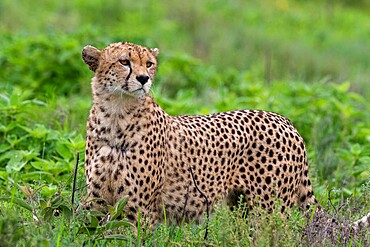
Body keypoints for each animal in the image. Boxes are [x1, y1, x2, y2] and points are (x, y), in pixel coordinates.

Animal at [81, 41, 370, 229]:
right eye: (124, 61)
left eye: (149, 64)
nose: (143, 79)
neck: (116, 115)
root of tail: (286, 121)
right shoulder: (96, 202)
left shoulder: (139, 208)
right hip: (242, 205)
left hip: (269, 210)